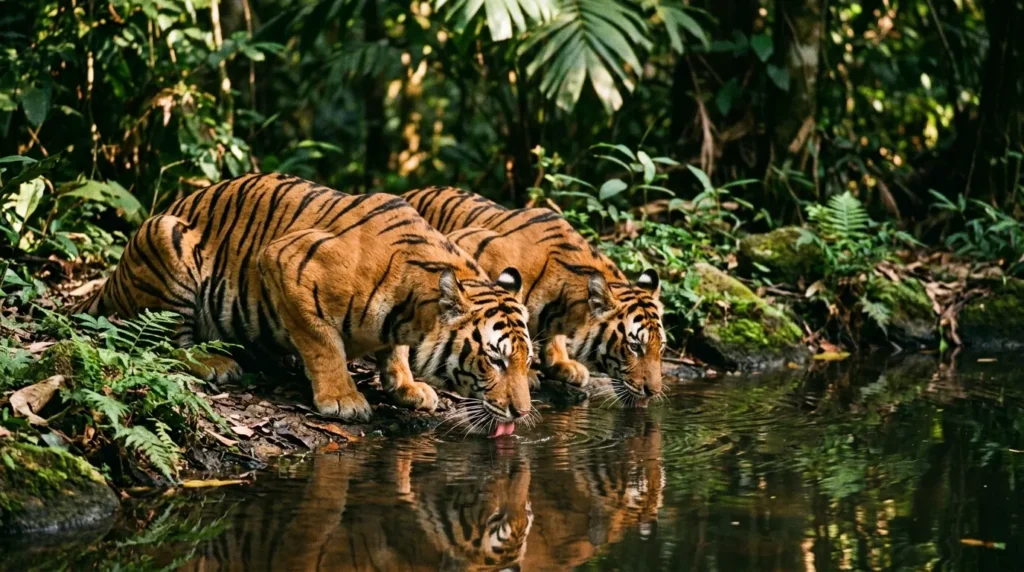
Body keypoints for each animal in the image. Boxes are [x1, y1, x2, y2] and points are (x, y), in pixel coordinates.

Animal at [69, 173, 533, 432]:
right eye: (495, 360)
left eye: (527, 362)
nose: (522, 413)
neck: (411, 312)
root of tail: (111, 280)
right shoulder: (285, 262)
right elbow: (322, 342)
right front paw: (343, 399)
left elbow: (395, 352)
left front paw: (407, 387)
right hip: (169, 239)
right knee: (165, 342)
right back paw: (215, 362)